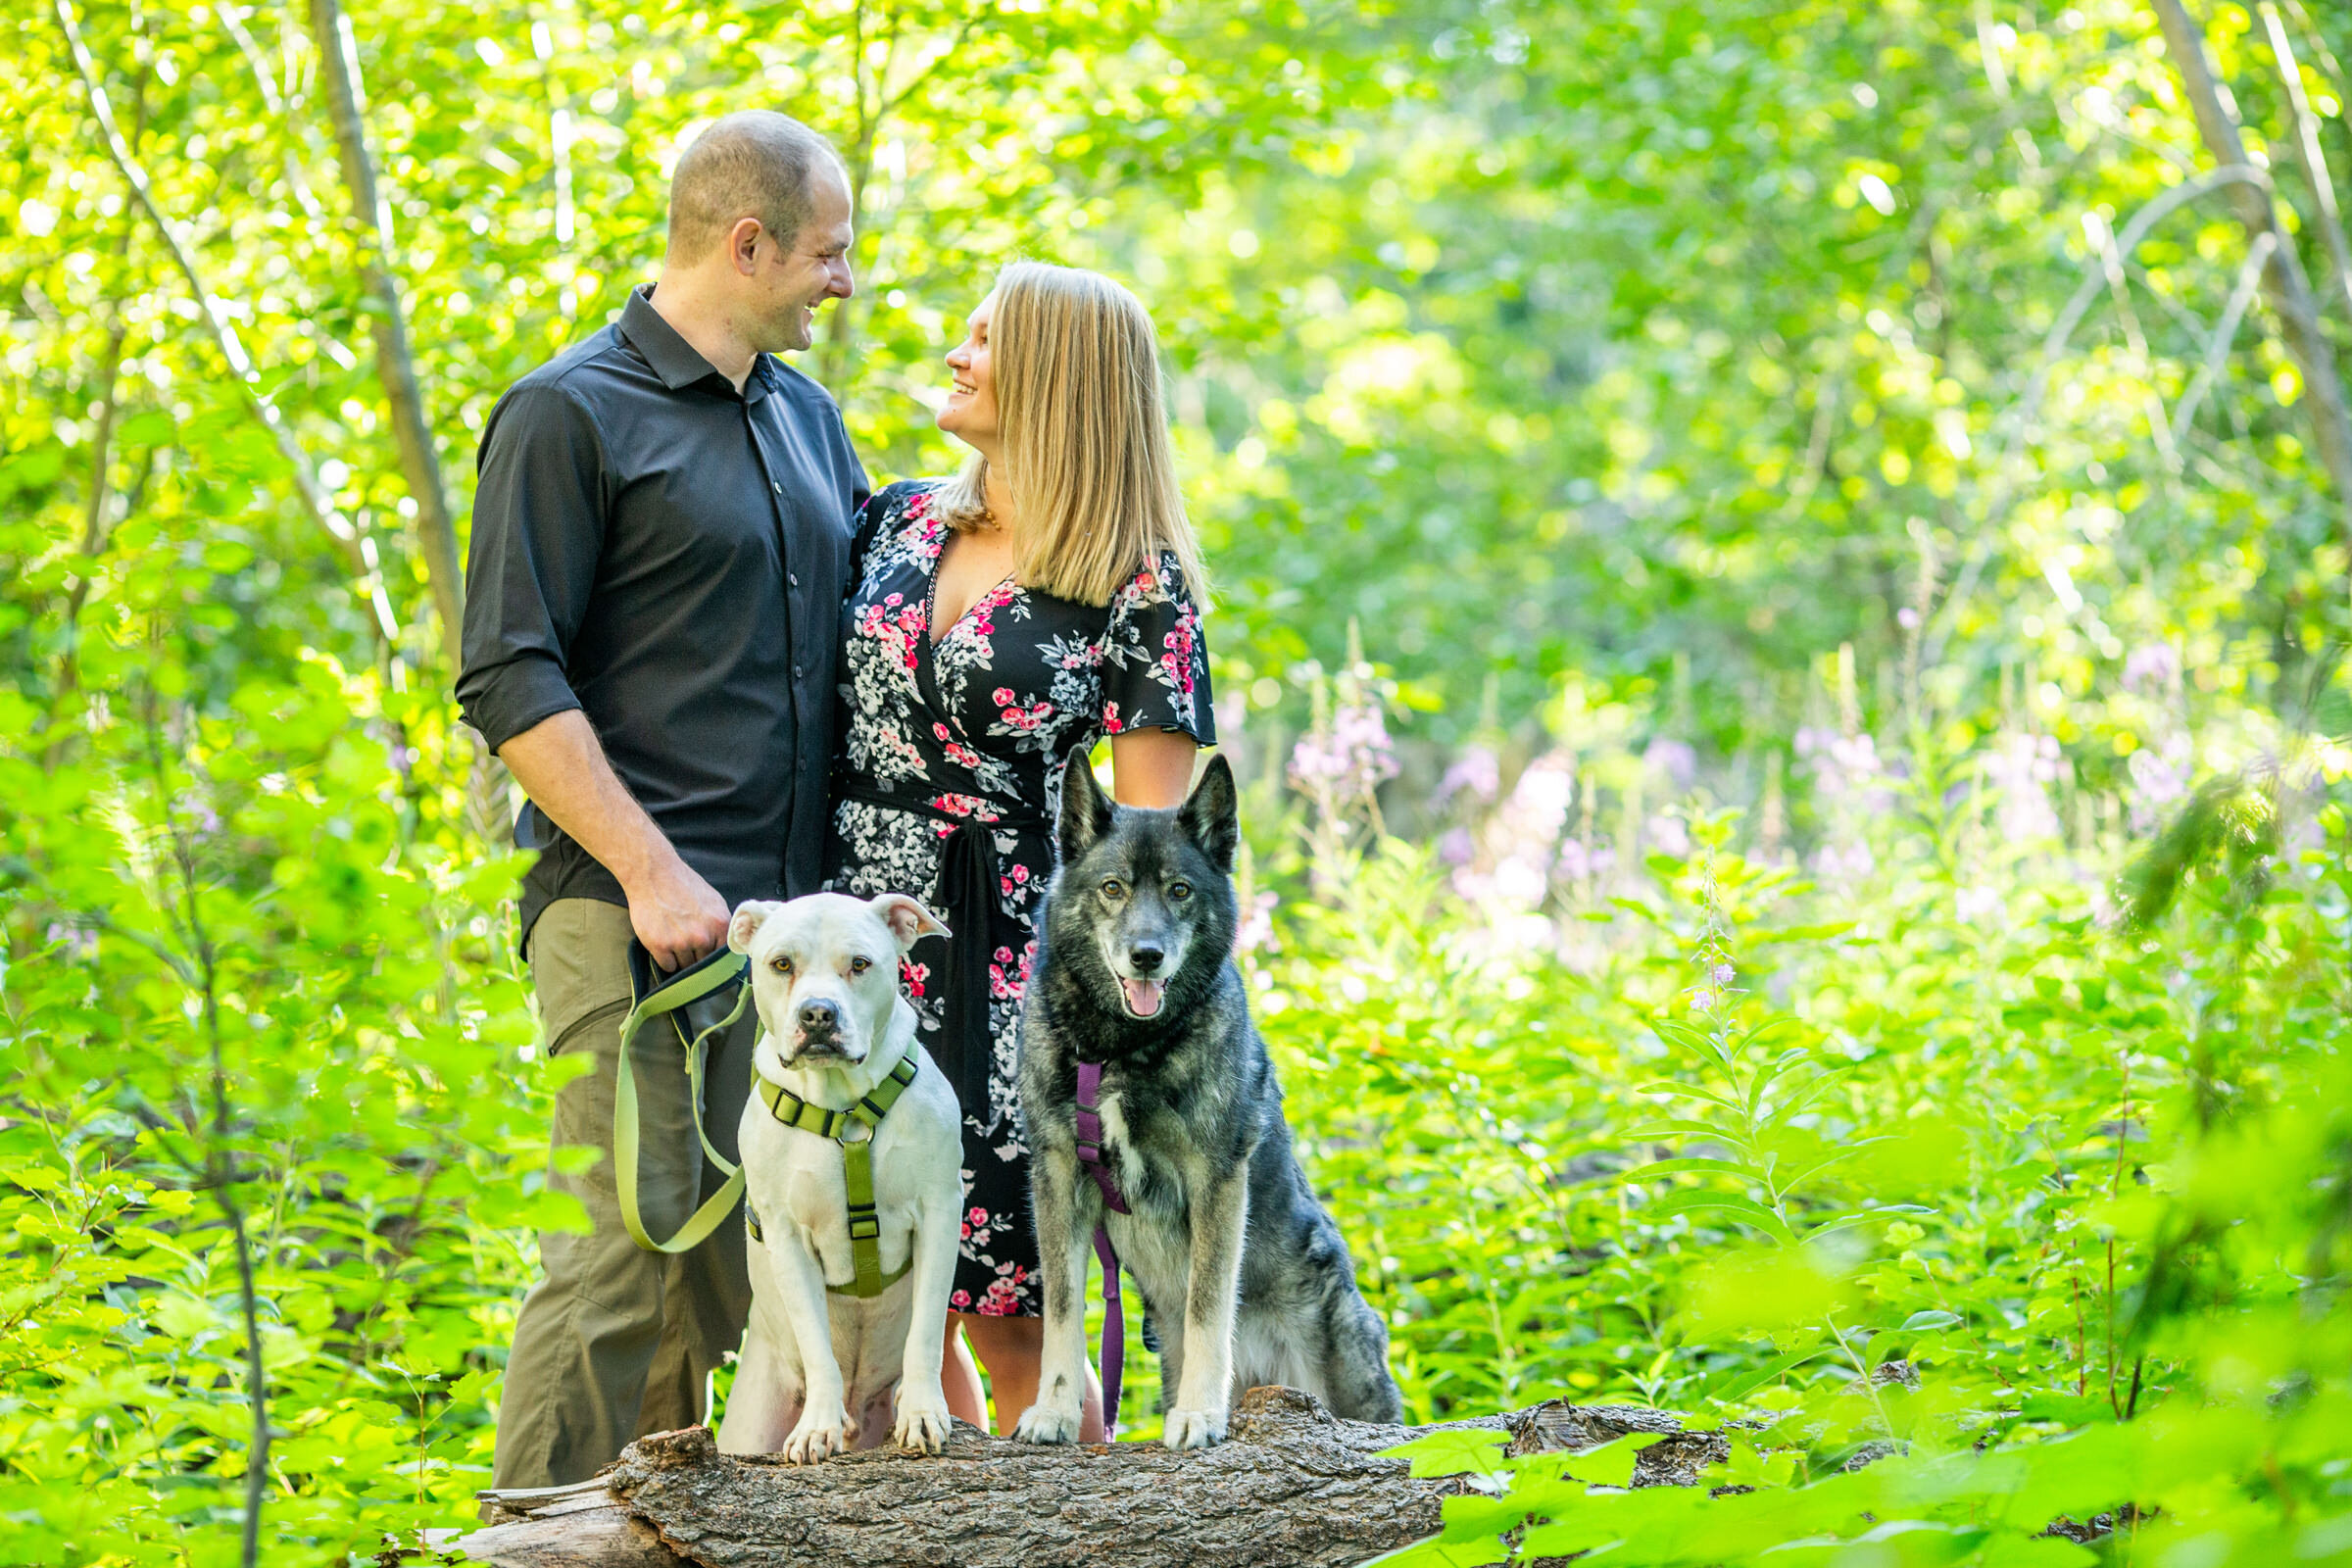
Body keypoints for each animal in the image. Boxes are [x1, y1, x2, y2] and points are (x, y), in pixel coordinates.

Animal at [719, 888, 968, 1466]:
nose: (817, 1013)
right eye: (781, 964)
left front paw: (922, 1411)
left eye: (859, 964)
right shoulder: (787, 1236)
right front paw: (817, 1426)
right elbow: (817, 1345)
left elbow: (925, 1331)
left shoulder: (939, 1212)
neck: (843, 1108)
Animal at [1011, 747, 1392, 1447]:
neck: (1120, 1049)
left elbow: (1209, 1305)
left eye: (1180, 890)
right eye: (1113, 888)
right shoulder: (1057, 1176)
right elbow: (1061, 1312)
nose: (1147, 956)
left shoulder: (1215, 1180)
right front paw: (1052, 1410)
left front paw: (1198, 1413)